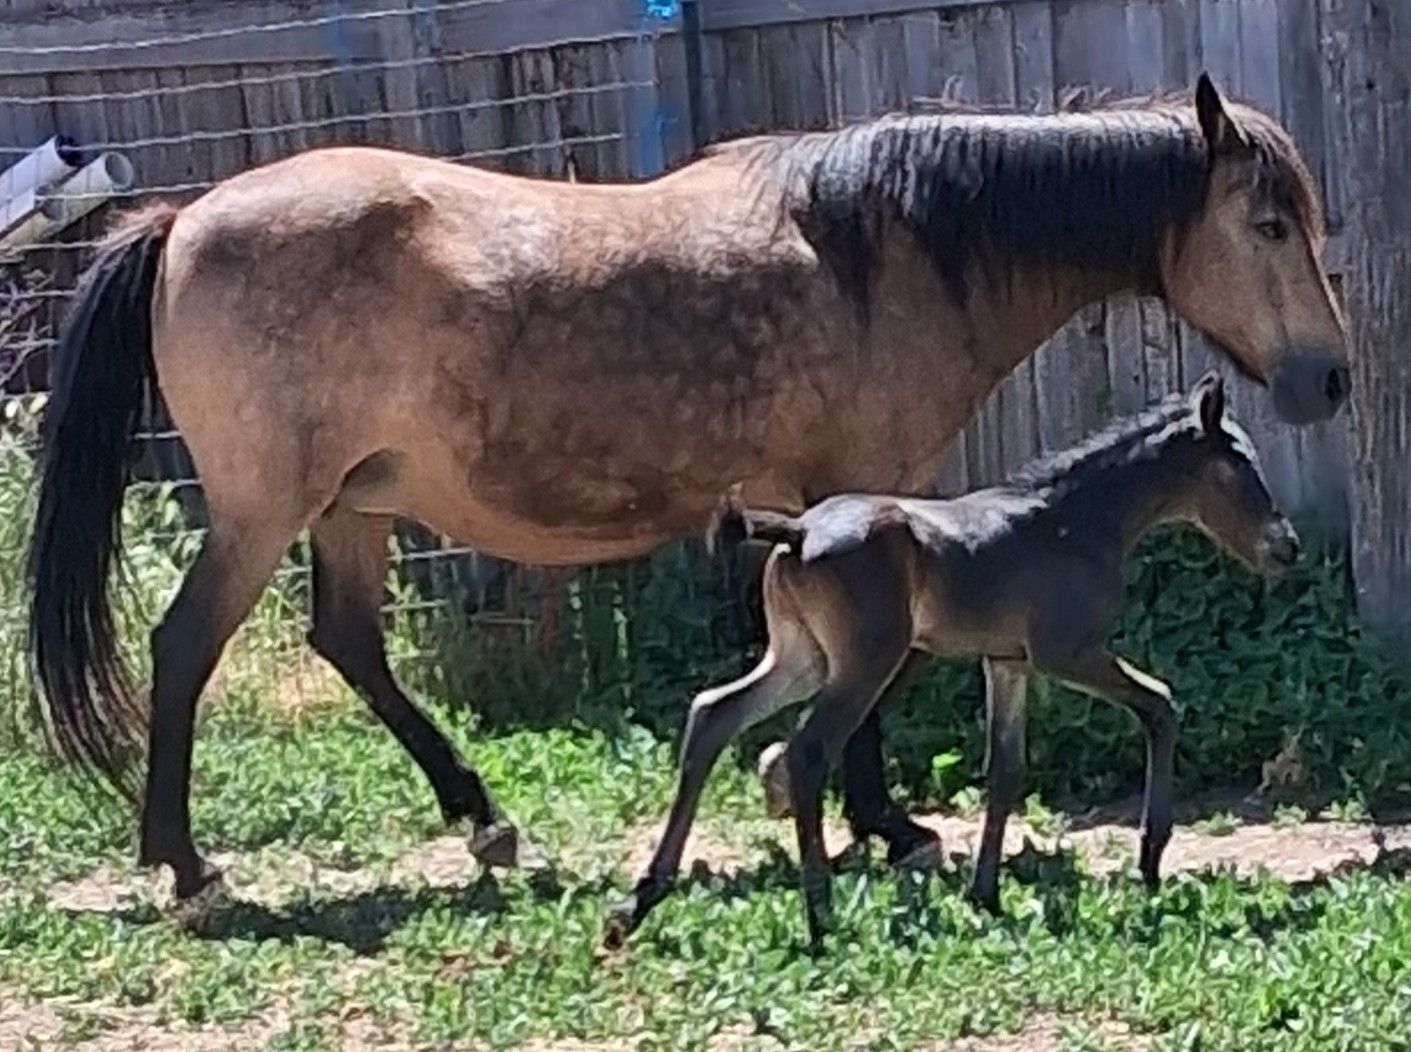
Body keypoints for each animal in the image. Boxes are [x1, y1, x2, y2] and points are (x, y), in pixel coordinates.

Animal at [609, 373, 1298, 945]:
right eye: (1239, 463)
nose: (1286, 547)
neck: (1076, 521)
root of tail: (798, 533)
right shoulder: (1067, 653)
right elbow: (1160, 705)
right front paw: (1150, 859)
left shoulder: (1007, 662)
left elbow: (1005, 771)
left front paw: (986, 895)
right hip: (865, 662)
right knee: (806, 751)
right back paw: (821, 915)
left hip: (800, 659)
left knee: (713, 714)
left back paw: (639, 902)